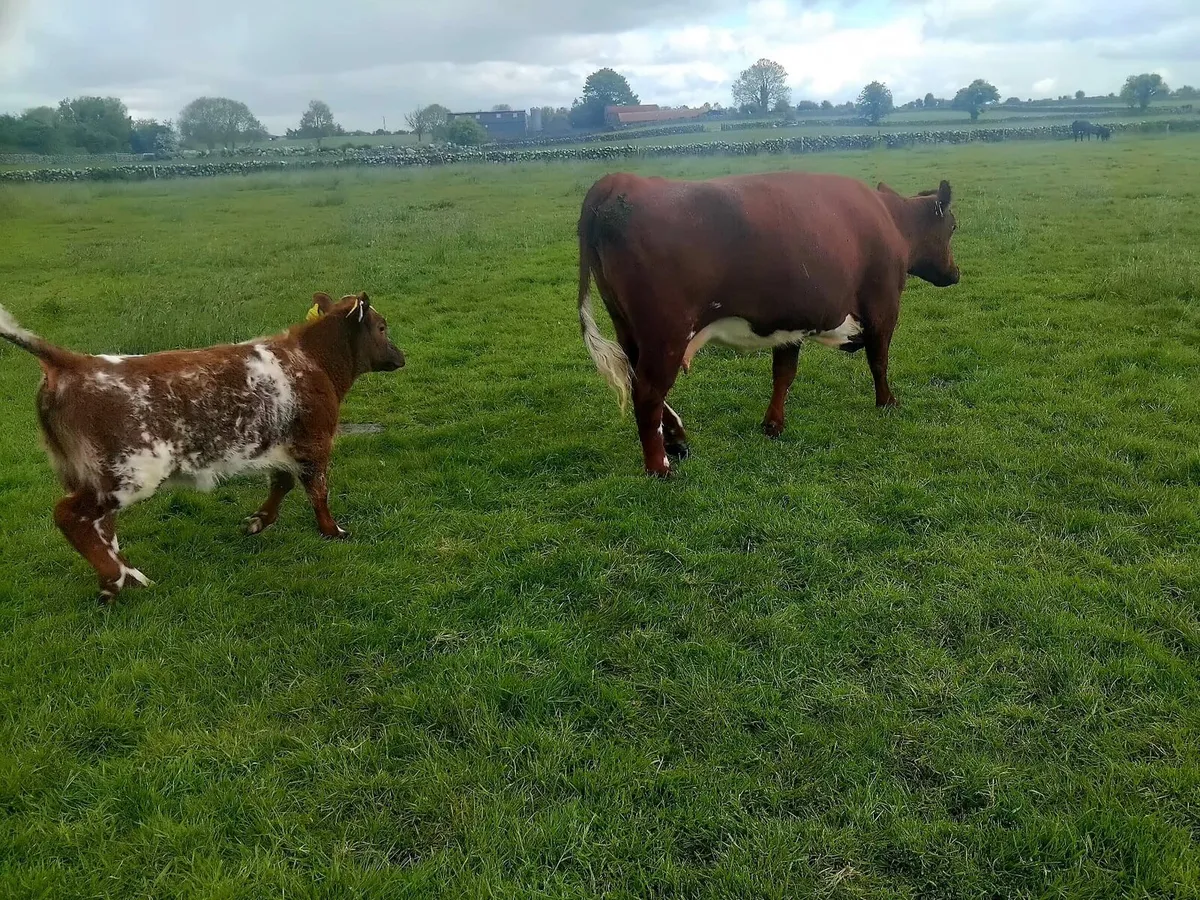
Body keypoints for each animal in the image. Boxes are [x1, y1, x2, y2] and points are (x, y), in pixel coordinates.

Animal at [0, 291, 405, 603]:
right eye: (382, 327)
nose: (401, 356)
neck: (313, 361)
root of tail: (74, 363)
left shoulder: (283, 445)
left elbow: (282, 483)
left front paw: (257, 522)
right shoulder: (315, 442)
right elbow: (318, 491)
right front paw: (333, 531)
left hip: (93, 475)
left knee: (99, 527)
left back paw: (120, 578)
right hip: (126, 474)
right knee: (69, 516)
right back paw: (118, 577)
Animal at [575, 170, 961, 477]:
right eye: (954, 226)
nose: (955, 274)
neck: (889, 219)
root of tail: (621, 180)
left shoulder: (793, 322)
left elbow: (784, 373)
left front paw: (773, 424)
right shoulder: (883, 307)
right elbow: (879, 360)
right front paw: (887, 403)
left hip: (629, 329)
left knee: (636, 380)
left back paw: (677, 440)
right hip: (666, 335)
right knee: (648, 393)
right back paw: (659, 467)